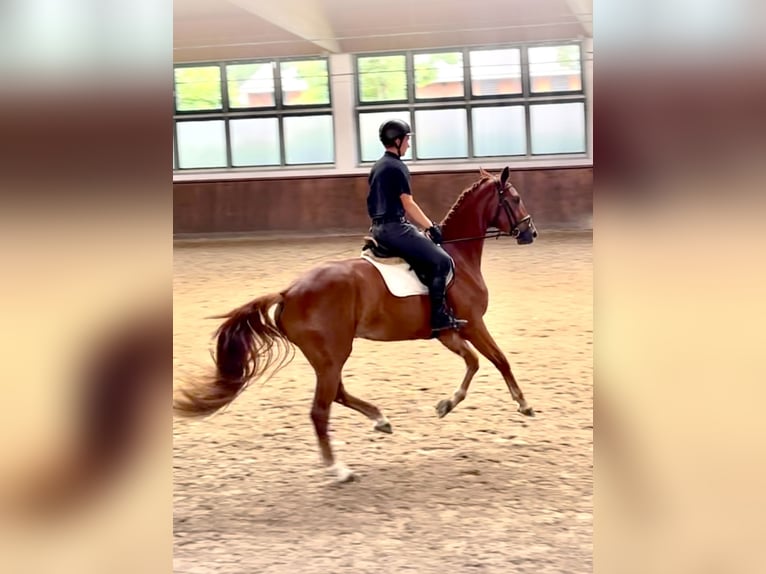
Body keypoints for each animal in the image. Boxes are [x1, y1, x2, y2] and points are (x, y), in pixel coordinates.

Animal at [174, 166, 538, 483]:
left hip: (328, 357)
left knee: (337, 394)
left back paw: (380, 420)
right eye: (516, 197)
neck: (458, 259)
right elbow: (499, 359)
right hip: (333, 354)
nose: (530, 232)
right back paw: (339, 469)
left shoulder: (448, 331)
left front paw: (446, 404)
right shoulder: (473, 324)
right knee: (320, 410)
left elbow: (473, 362)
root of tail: (289, 292)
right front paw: (523, 403)